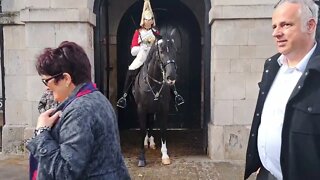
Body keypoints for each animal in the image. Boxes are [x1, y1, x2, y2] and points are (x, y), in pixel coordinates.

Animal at [132, 31, 179, 167]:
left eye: (175, 50)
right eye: (161, 51)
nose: (171, 77)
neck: (153, 82)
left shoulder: (163, 108)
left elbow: (162, 129)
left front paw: (165, 155)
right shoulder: (141, 108)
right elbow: (142, 130)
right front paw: (142, 158)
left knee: (151, 123)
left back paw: (151, 142)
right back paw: (146, 142)